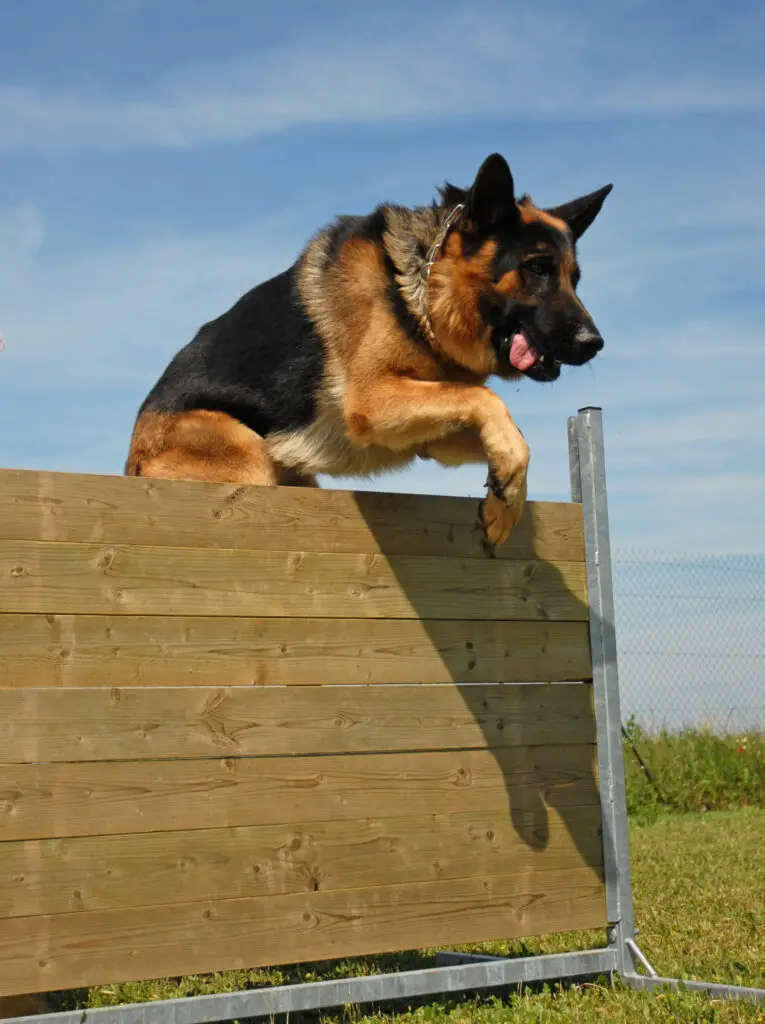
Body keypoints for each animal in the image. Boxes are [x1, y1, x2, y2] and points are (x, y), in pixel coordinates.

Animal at [128, 153, 614, 552]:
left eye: (574, 278)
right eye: (538, 269)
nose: (594, 343)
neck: (420, 293)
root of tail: (131, 466)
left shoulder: (432, 431)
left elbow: (510, 431)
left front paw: (504, 500)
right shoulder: (373, 400)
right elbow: (487, 399)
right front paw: (507, 488)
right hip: (246, 459)